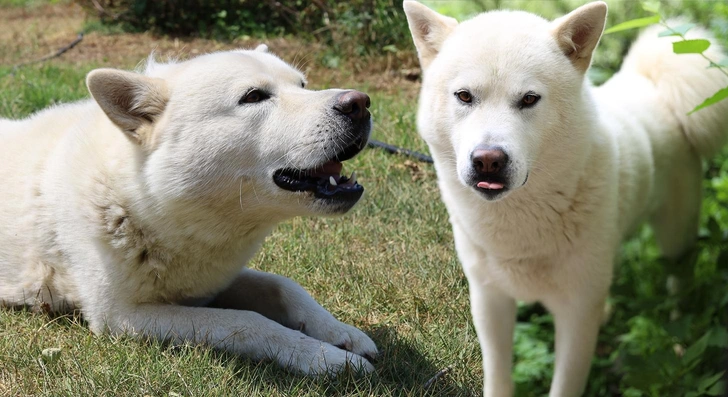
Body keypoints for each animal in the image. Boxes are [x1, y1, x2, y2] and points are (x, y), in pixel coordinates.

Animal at [0, 44, 378, 376]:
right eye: (254, 96)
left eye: (302, 85)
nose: (359, 103)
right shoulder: (120, 316)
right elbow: (248, 321)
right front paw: (324, 358)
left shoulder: (210, 280)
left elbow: (284, 285)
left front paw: (340, 333)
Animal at [404, 1, 728, 394]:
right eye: (464, 96)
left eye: (529, 99)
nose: (488, 161)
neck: (520, 226)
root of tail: (651, 82)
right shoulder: (490, 300)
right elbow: (498, 376)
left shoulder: (575, 314)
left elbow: (566, 383)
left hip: (675, 237)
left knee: (679, 284)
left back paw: (679, 336)